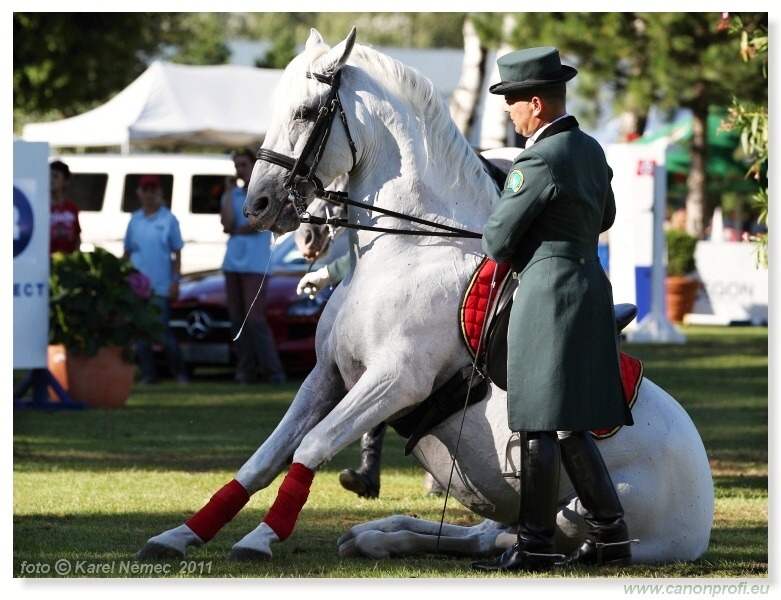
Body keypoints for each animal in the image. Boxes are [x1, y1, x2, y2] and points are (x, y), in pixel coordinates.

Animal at [136, 27, 712, 564]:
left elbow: (312, 445)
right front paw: (180, 534)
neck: (408, 247)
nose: (257, 204)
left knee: (524, 534)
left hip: (575, 514)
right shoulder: (327, 375)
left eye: (305, 111)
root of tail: (704, 502)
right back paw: (381, 534)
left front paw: (259, 538)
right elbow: (263, 459)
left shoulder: (395, 380)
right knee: (483, 534)